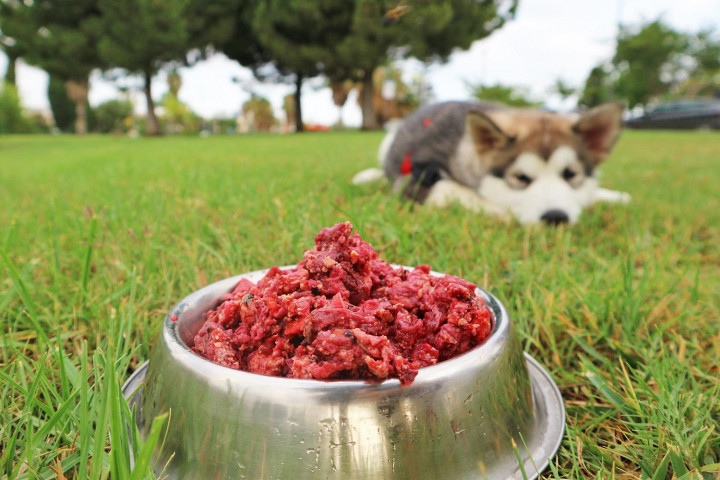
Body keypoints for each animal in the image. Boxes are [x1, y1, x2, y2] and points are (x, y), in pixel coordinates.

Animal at [354, 100, 632, 224]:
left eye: (570, 174)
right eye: (521, 178)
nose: (556, 218)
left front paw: (612, 196)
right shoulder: (417, 180)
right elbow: (456, 191)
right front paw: (504, 214)